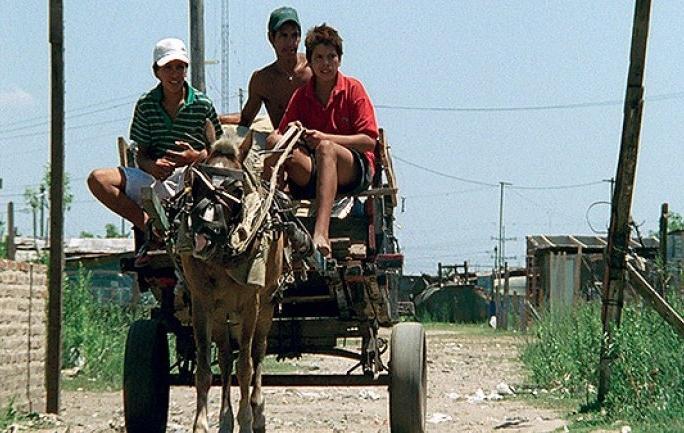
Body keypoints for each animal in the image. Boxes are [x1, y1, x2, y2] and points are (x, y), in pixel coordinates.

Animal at [180, 132, 284, 432]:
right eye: (197, 182)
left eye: (236, 188)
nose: (206, 231)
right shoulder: (201, 305)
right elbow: (205, 369)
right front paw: (201, 424)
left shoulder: (251, 304)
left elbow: (246, 367)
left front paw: (246, 419)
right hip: (221, 315)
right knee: (226, 358)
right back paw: (226, 419)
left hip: (266, 308)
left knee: (258, 353)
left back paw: (257, 413)